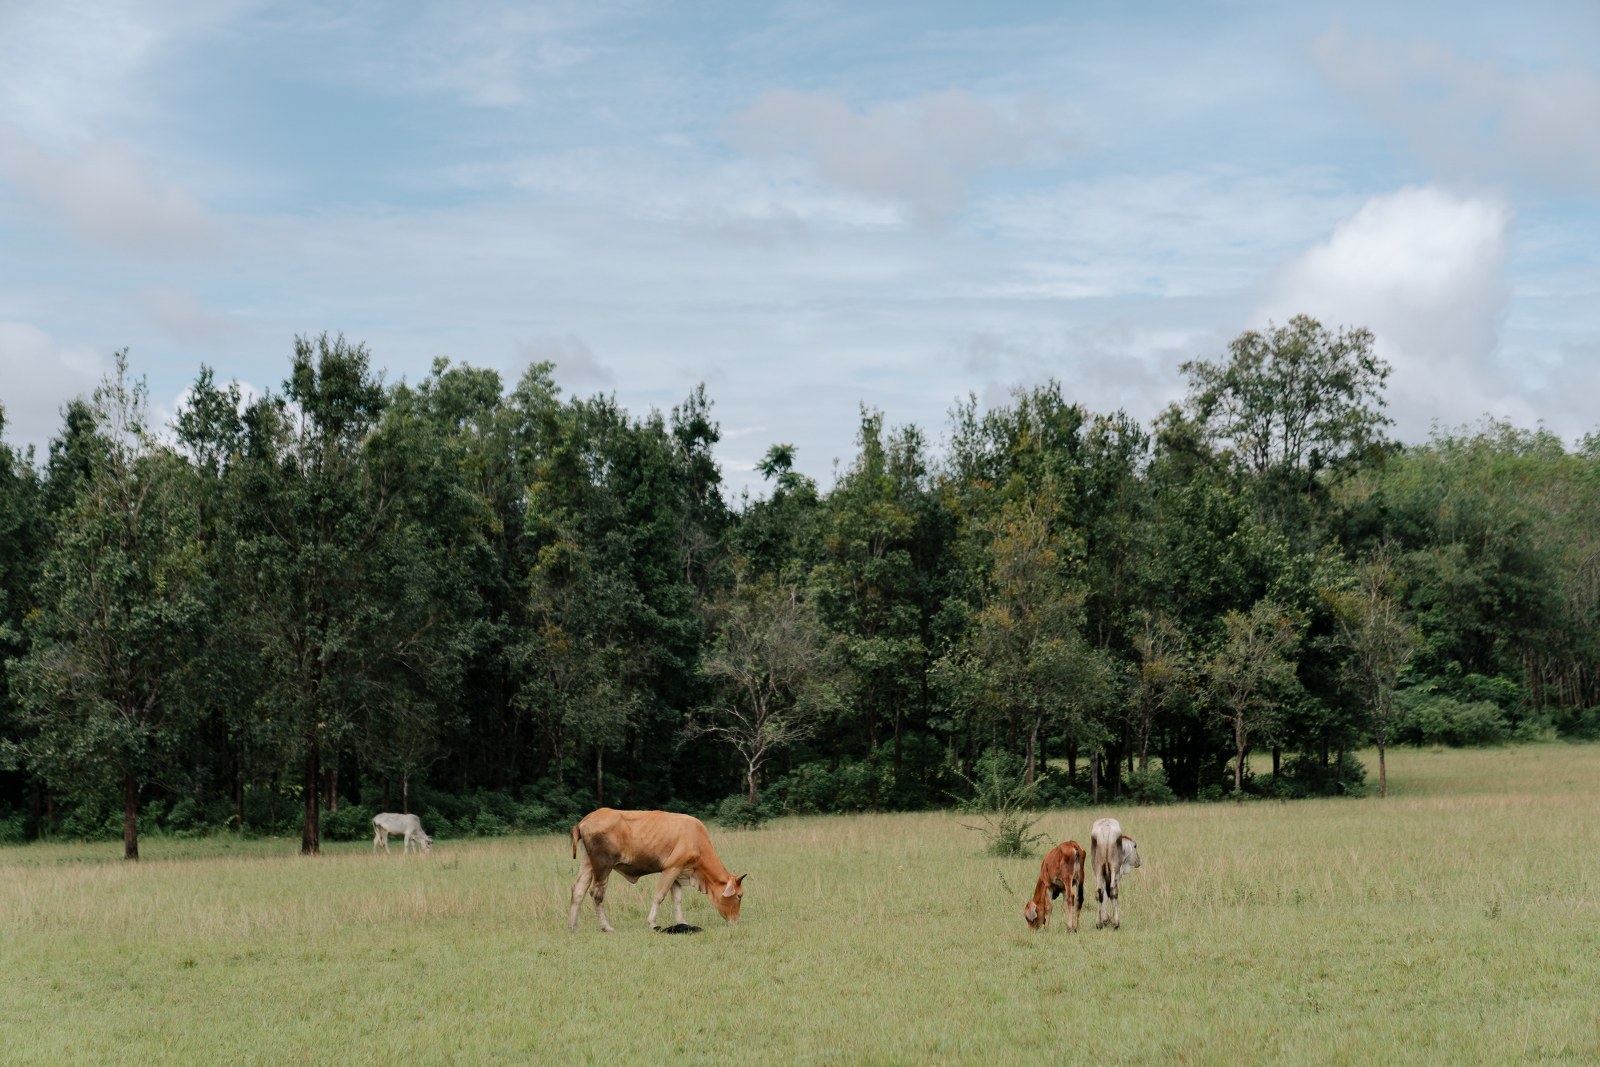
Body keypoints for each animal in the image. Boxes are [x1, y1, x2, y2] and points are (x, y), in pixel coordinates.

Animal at [572, 809, 745, 934]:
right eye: (739, 895)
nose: (736, 921)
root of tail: (587, 818)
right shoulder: (671, 868)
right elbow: (659, 896)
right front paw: (652, 923)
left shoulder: (678, 873)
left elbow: (677, 900)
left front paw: (682, 922)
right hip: (603, 866)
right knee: (596, 894)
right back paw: (606, 926)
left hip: (587, 863)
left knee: (578, 890)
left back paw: (572, 926)